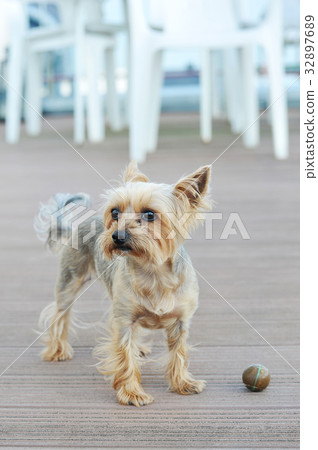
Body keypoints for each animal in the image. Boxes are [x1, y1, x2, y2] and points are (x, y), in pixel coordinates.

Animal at [36, 163, 211, 408]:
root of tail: (79, 224)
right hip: (69, 282)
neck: (152, 271)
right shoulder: (124, 321)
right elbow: (125, 357)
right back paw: (57, 350)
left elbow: (179, 353)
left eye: (150, 214)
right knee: (60, 314)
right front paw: (132, 393)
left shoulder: (181, 322)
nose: (117, 236)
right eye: (115, 213)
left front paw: (182, 383)